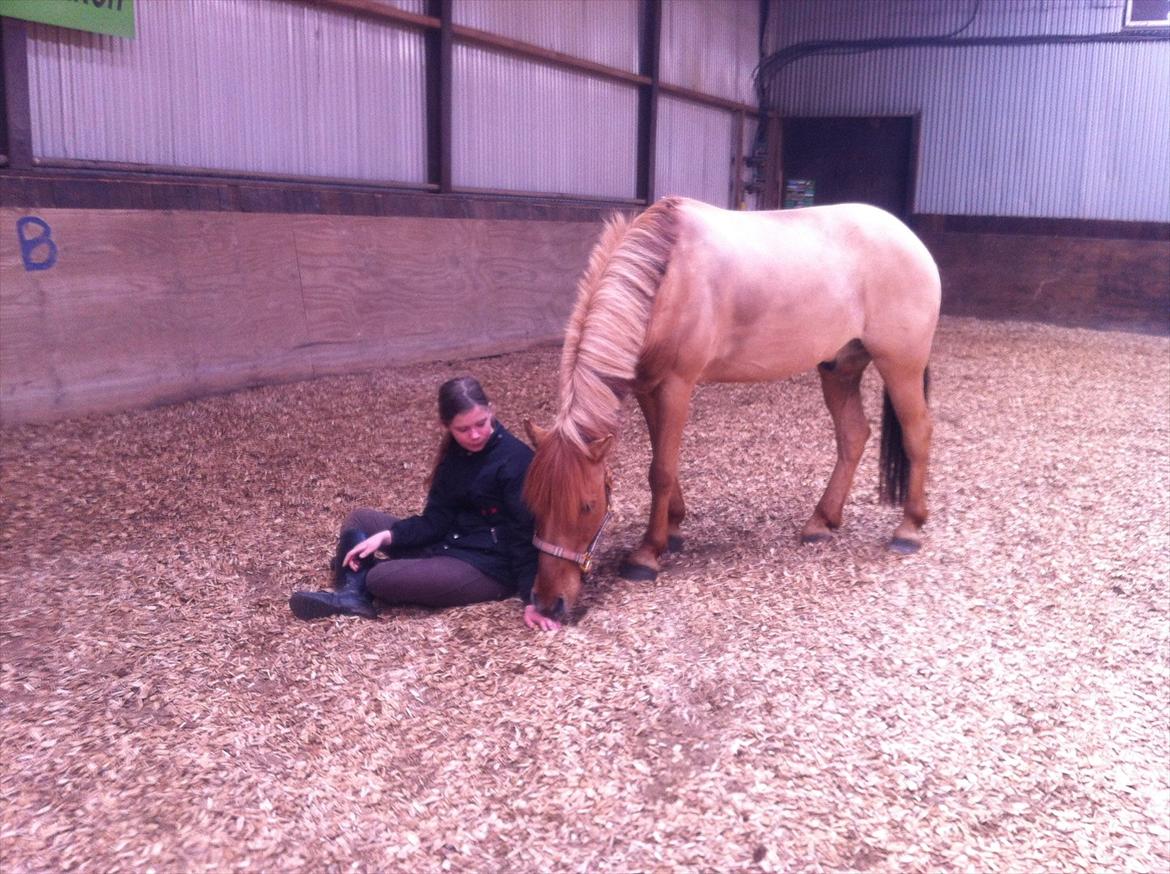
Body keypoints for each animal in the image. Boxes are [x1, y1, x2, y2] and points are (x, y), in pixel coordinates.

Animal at [522, 196, 940, 620]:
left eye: (587, 506)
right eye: (532, 503)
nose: (548, 603)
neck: (664, 278)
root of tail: (910, 240)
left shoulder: (676, 385)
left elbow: (661, 470)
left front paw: (646, 554)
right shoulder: (647, 387)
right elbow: (663, 462)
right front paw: (673, 528)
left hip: (900, 366)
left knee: (917, 434)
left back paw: (908, 529)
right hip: (840, 368)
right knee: (853, 436)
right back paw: (821, 522)